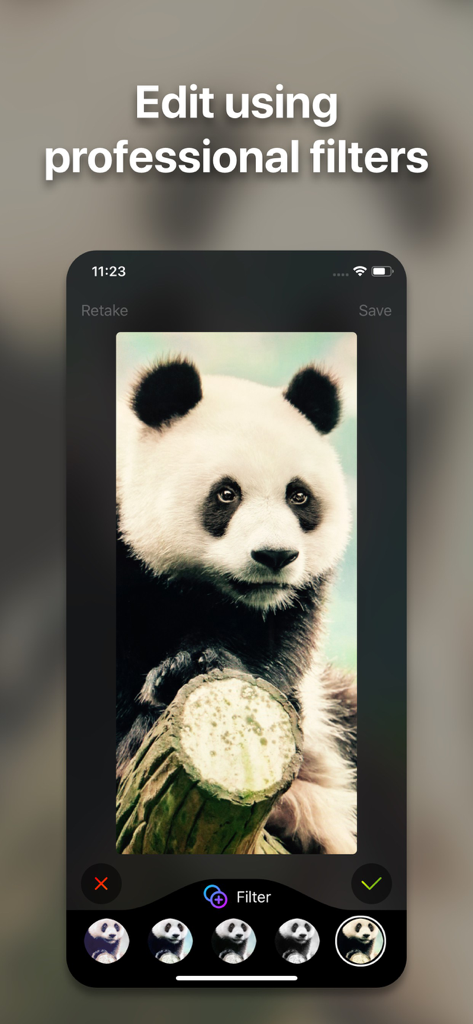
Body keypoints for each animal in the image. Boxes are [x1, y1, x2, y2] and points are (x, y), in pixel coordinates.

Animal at [116, 357, 357, 854]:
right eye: (226, 494)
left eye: (298, 495)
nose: (275, 556)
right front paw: (148, 712)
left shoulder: (289, 602)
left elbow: (271, 648)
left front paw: (194, 665)